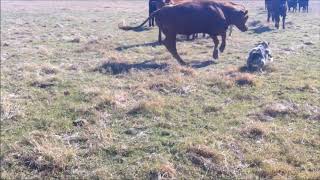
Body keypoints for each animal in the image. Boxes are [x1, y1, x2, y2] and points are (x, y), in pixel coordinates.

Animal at [119, 0, 249, 65]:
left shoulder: (212, 32)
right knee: (170, 45)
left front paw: (216, 54)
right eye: (245, 17)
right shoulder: (216, 30)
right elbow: (223, 38)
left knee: (168, 45)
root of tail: (159, 10)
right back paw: (182, 62)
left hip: (171, 33)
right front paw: (220, 51)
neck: (222, 9)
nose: (246, 28)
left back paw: (180, 60)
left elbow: (218, 40)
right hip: (171, 33)